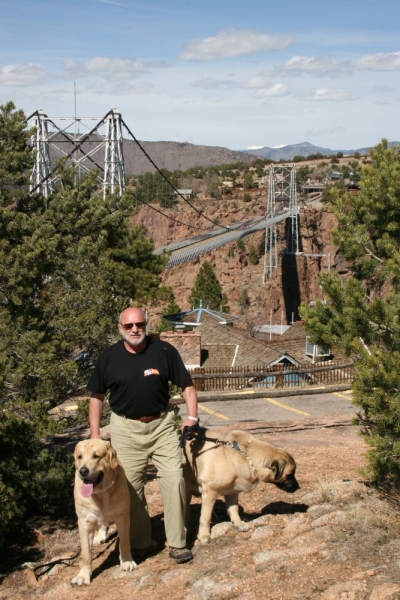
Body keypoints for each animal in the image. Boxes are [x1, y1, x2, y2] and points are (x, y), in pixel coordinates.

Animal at [70, 438, 136, 584]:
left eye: (96, 456)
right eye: (79, 457)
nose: (83, 471)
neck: (100, 495)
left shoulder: (122, 517)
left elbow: (124, 542)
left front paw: (126, 562)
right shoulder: (84, 523)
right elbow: (86, 554)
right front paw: (83, 575)